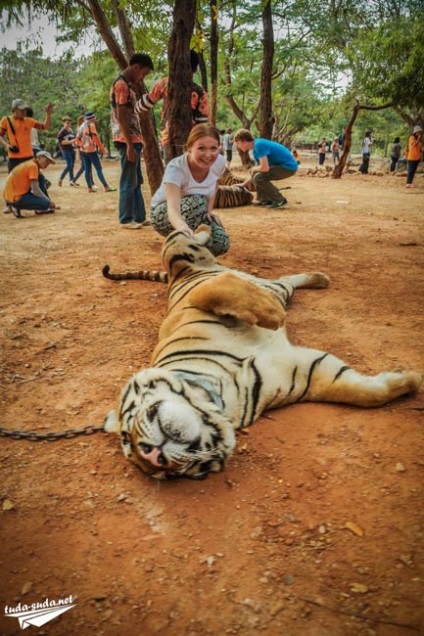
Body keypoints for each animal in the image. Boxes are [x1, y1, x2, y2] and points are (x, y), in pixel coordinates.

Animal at [104, 226, 422, 480]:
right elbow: (363, 392)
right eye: (168, 473)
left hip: (178, 253)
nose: (151, 454)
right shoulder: (308, 372)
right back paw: (318, 279)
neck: (223, 394)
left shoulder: (199, 300)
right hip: (275, 287)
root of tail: (173, 277)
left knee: (188, 242)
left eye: (129, 429)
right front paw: (409, 380)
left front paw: (273, 316)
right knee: (283, 280)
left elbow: (215, 290)